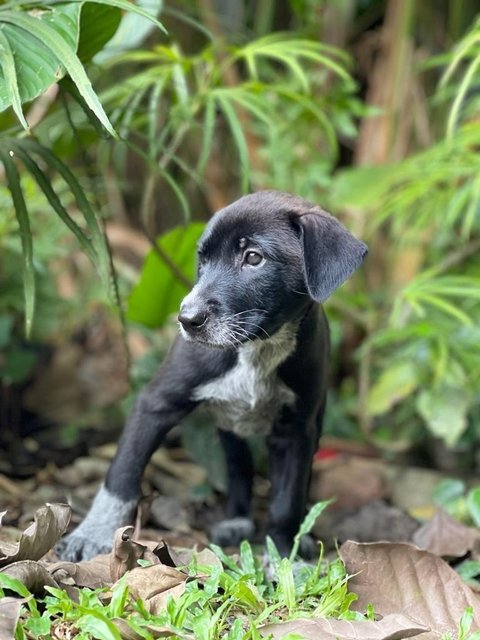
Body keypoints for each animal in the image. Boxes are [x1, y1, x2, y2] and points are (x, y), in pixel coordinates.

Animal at [59, 190, 368, 560]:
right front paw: (92, 534)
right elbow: (122, 473)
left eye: (253, 258)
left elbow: (286, 502)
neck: (256, 348)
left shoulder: (296, 429)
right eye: (202, 260)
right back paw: (236, 519)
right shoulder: (155, 402)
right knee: (237, 466)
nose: (186, 319)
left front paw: (284, 557)